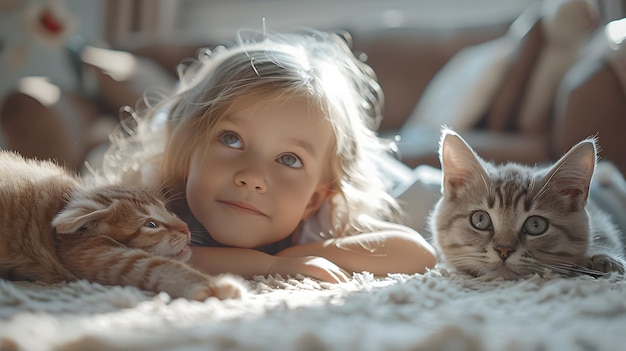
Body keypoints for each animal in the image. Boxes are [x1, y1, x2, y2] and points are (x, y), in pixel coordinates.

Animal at [0, 151, 244, 300]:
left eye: (168, 210)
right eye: (151, 224)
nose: (185, 227)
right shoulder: (92, 254)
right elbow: (154, 265)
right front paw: (216, 285)